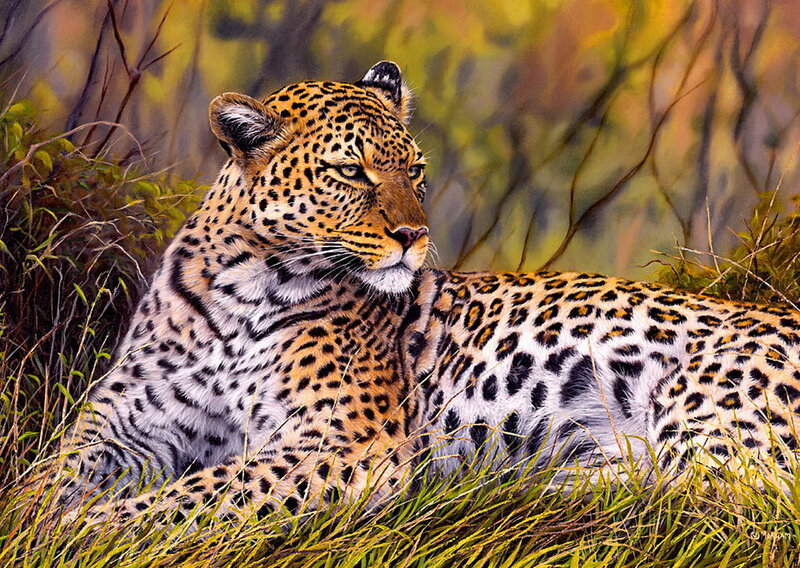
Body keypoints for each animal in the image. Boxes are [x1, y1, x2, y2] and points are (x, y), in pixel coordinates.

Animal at [34, 61, 800, 524]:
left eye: (417, 170)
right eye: (351, 172)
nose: (415, 235)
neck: (242, 289)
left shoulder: (344, 440)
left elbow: (201, 491)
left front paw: (92, 528)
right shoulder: (125, 425)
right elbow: (50, 473)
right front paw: (41, 520)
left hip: (708, 397)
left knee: (722, 503)